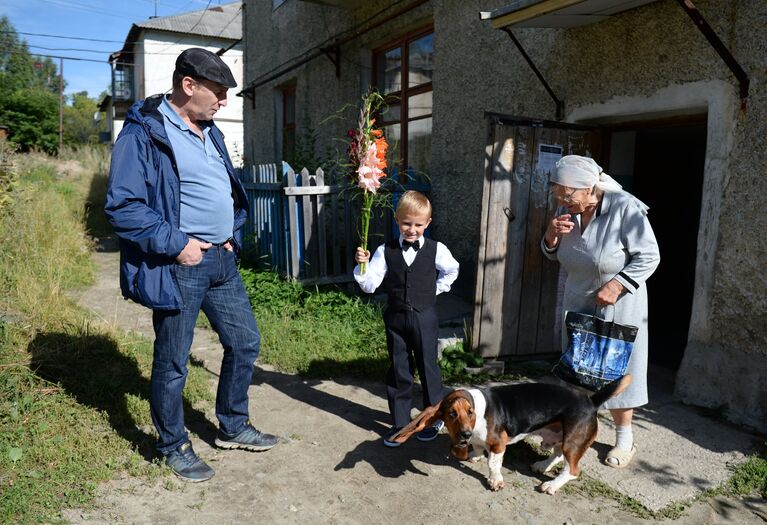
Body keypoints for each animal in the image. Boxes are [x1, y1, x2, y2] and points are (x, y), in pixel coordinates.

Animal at [392, 374, 632, 494]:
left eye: (470, 412)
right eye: (451, 414)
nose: (465, 434)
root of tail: (591, 401)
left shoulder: (499, 444)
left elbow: (493, 464)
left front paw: (495, 481)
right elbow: (477, 447)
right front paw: (474, 455)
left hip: (573, 440)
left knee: (572, 470)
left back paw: (551, 486)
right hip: (561, 436)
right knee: (557, 455)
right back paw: (542, 466)